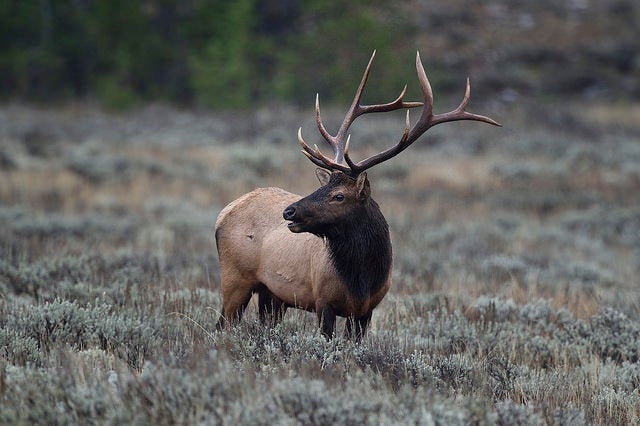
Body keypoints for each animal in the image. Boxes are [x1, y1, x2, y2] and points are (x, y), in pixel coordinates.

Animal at [214, 51, 500, 339]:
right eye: (322, 187)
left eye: (338, 195)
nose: (289, 211)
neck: (362, 279)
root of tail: (223, 213)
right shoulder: (323, 301)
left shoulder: (367, 309)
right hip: (235, 278)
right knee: (222, 324)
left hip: (272, 294)